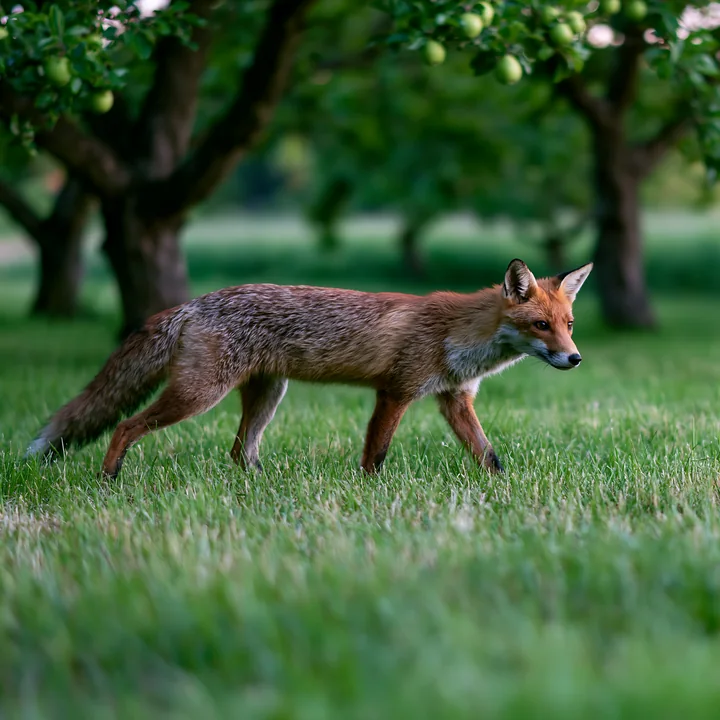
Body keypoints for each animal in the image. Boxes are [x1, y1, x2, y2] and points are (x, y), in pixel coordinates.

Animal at [26, 258, 592, 480]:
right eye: (540, 325)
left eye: (569, 324)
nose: (575, 358)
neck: (459, 335)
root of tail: (192, 304)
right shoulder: (396, 391)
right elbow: (376, 455)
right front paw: (369, 493)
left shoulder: (455, 398)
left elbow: (489, 456)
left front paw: (503, 490)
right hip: (199, 394)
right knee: (125, 425)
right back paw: (109, 477)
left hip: (267, 395)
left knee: (239, 451)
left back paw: (260, 486)